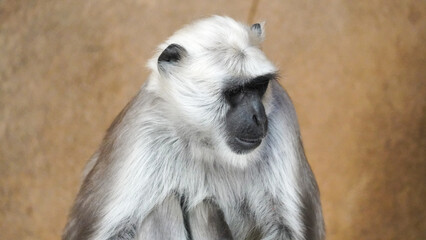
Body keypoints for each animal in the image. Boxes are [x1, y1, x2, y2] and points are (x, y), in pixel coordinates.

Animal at [62, 15, 322, 239]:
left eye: (259, 86)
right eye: (235, 92)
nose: (258, 116)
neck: (208, 146)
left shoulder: (282, 115)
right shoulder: (141, 127)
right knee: (164, 206)